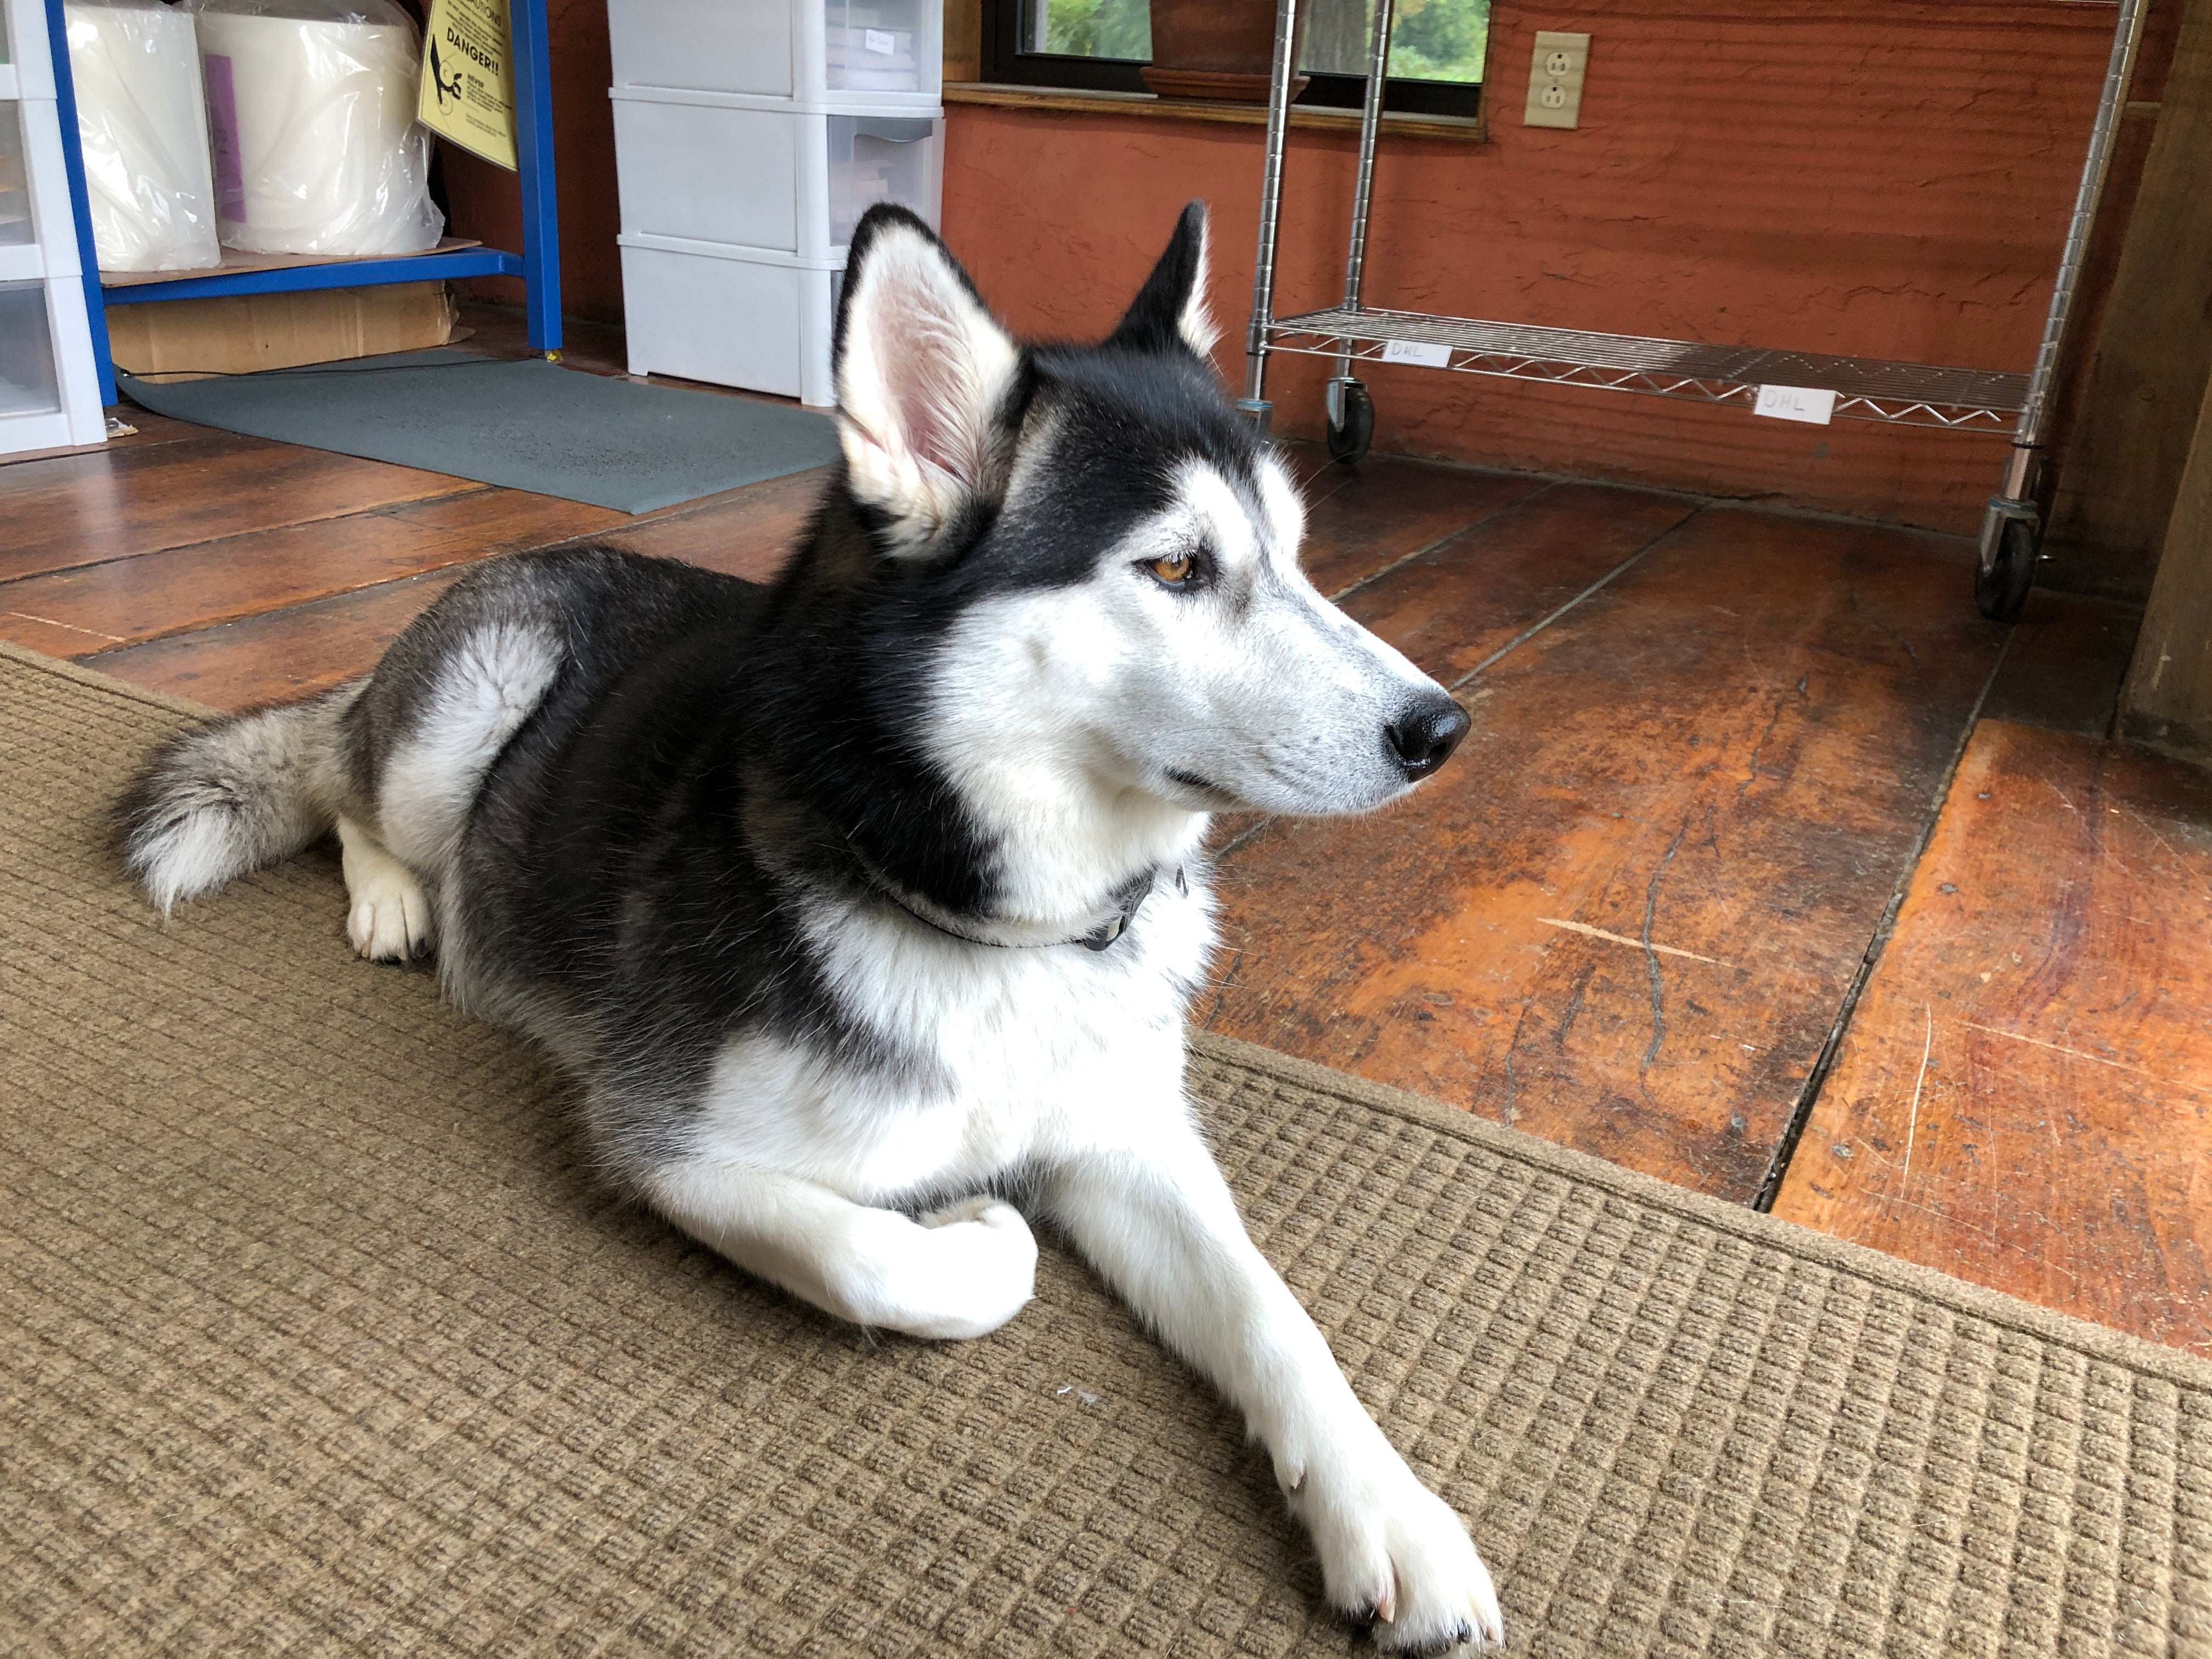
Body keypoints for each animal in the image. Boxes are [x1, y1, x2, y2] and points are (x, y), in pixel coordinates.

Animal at [121, 201, 1504, 1654]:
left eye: (1296, 553)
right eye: (1179, 567)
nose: (1443, 729)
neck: (999, 927)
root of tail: (529, 554)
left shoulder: (1130, 1141)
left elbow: (1273, 1313)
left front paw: (1391, 1513)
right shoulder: (665, 1143)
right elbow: (877, 1259)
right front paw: (981, 1231)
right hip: (469, 708)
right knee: (342, 785)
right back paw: (395, 896)